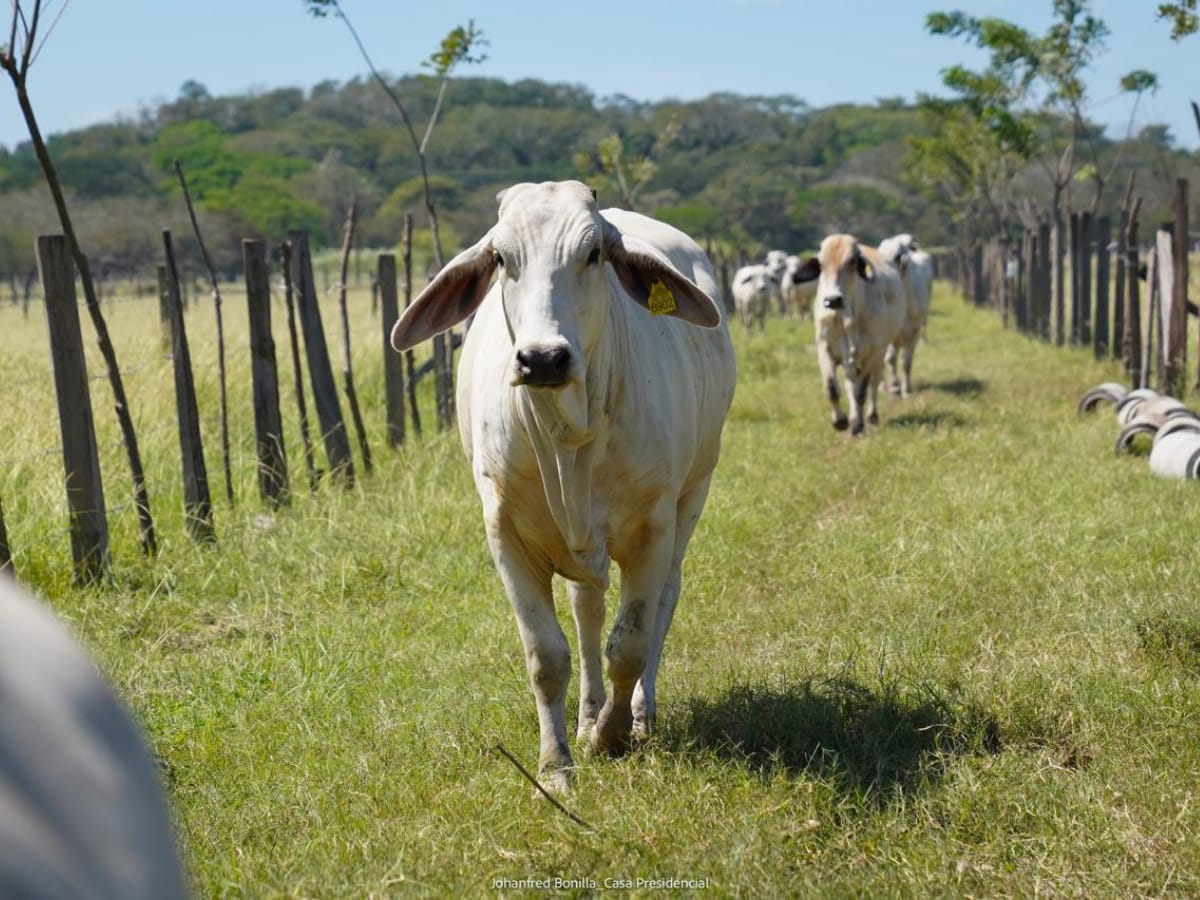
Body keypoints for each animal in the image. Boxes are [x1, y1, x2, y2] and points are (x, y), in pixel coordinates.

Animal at [388, 180, 734, 792]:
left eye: (593, 254)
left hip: (693, 495)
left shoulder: (654, 526)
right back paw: (589, 711)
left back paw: (638, 714)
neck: (567, 437)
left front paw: (612, 738)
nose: (543, 358)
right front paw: (557, 767)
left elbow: (630, 644)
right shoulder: (505, 533)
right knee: (587, 608)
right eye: (503, 258)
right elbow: (547, 655)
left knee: (664, 601)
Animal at [792, 234, 902, 434]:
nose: (833, 299)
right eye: (821, 264)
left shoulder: (873, 351)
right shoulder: (824, 347)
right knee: (851, 382)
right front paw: (840, 420)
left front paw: (857, 425)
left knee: (874, 382)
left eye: (852, 262)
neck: (847, 316)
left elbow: (861, 391)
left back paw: (871, 416)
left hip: (880, 351)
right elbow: (832, 388)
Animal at [878, 232, 931, 393]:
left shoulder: (913, 332)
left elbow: (906, 361)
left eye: (897, 256)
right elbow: (889, 359)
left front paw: (906, 388)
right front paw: (894, 385)